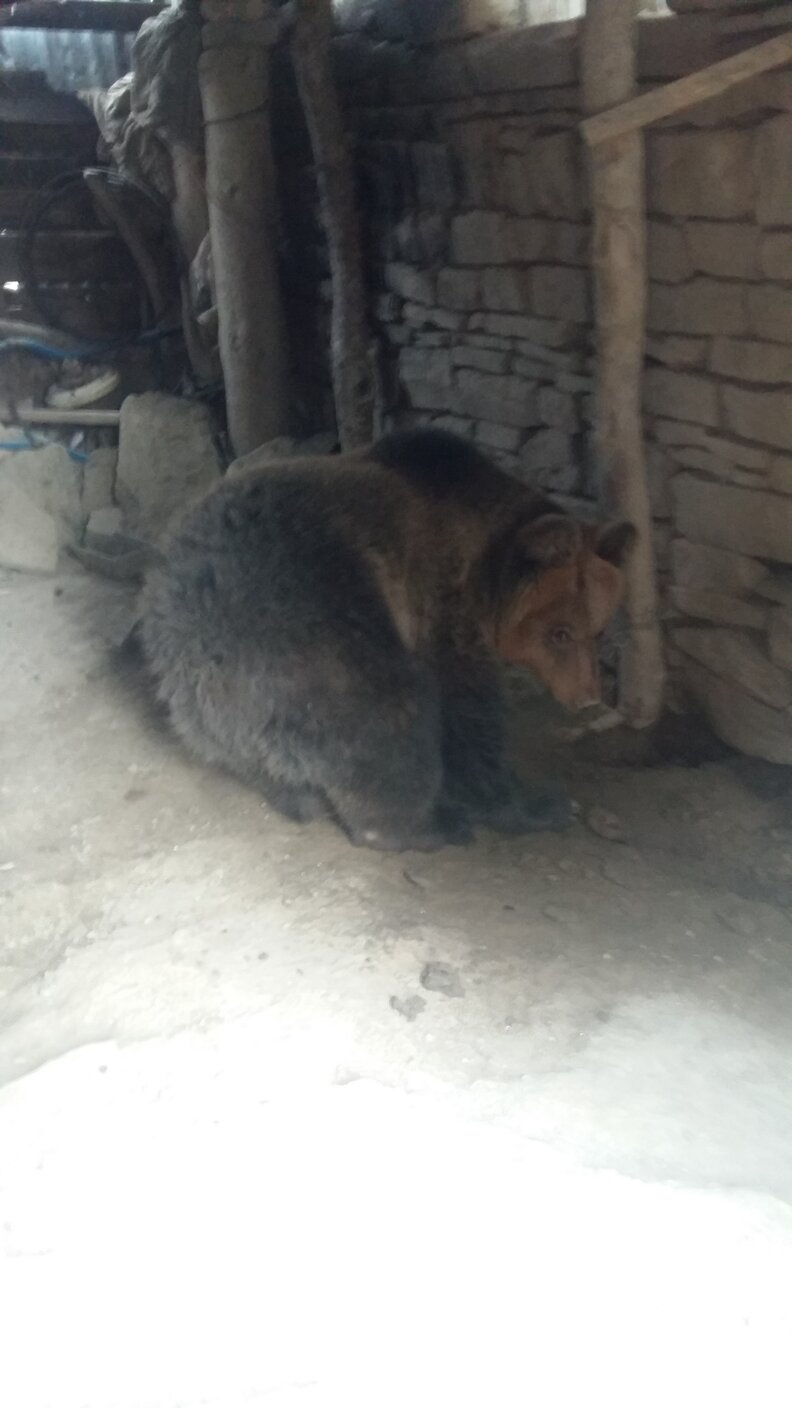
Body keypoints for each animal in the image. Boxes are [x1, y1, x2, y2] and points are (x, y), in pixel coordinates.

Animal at [139, 428, 635, 851]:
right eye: (560, 633)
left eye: (597, 629)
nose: (588, 697)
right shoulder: (441, 598)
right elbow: (467, 708)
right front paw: (536, 803)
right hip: (315, 635)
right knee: (389, 720)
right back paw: (427, 826)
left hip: (205, 704)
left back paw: (295, 796)